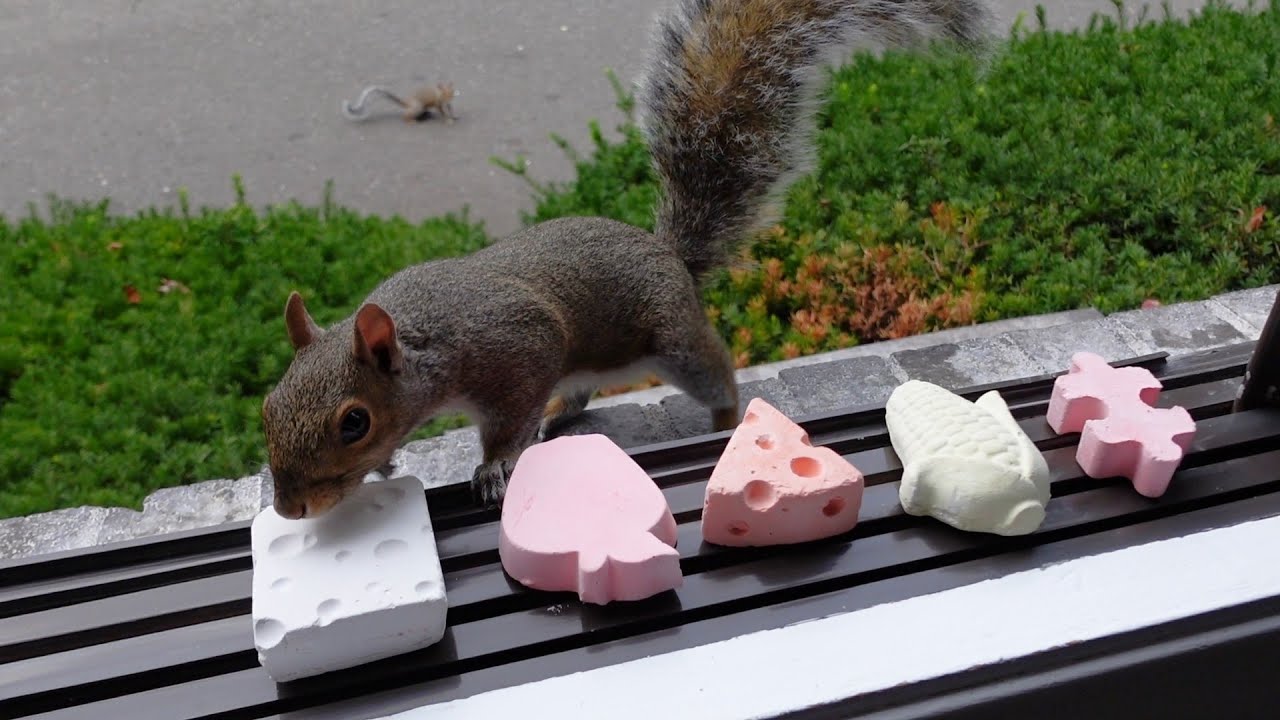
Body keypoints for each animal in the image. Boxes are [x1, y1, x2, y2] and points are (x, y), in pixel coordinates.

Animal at [263, 0, 993, 519]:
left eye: (354, 422)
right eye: (269, 405)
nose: (292, 507)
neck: (427, 334)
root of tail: (670, 255)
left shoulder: (517, 347)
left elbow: (507, 422)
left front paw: (493, 467)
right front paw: (392, 466)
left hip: (671, 339)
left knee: (717, 369)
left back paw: (723, 420)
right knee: (584, 386)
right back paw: (563, 415)